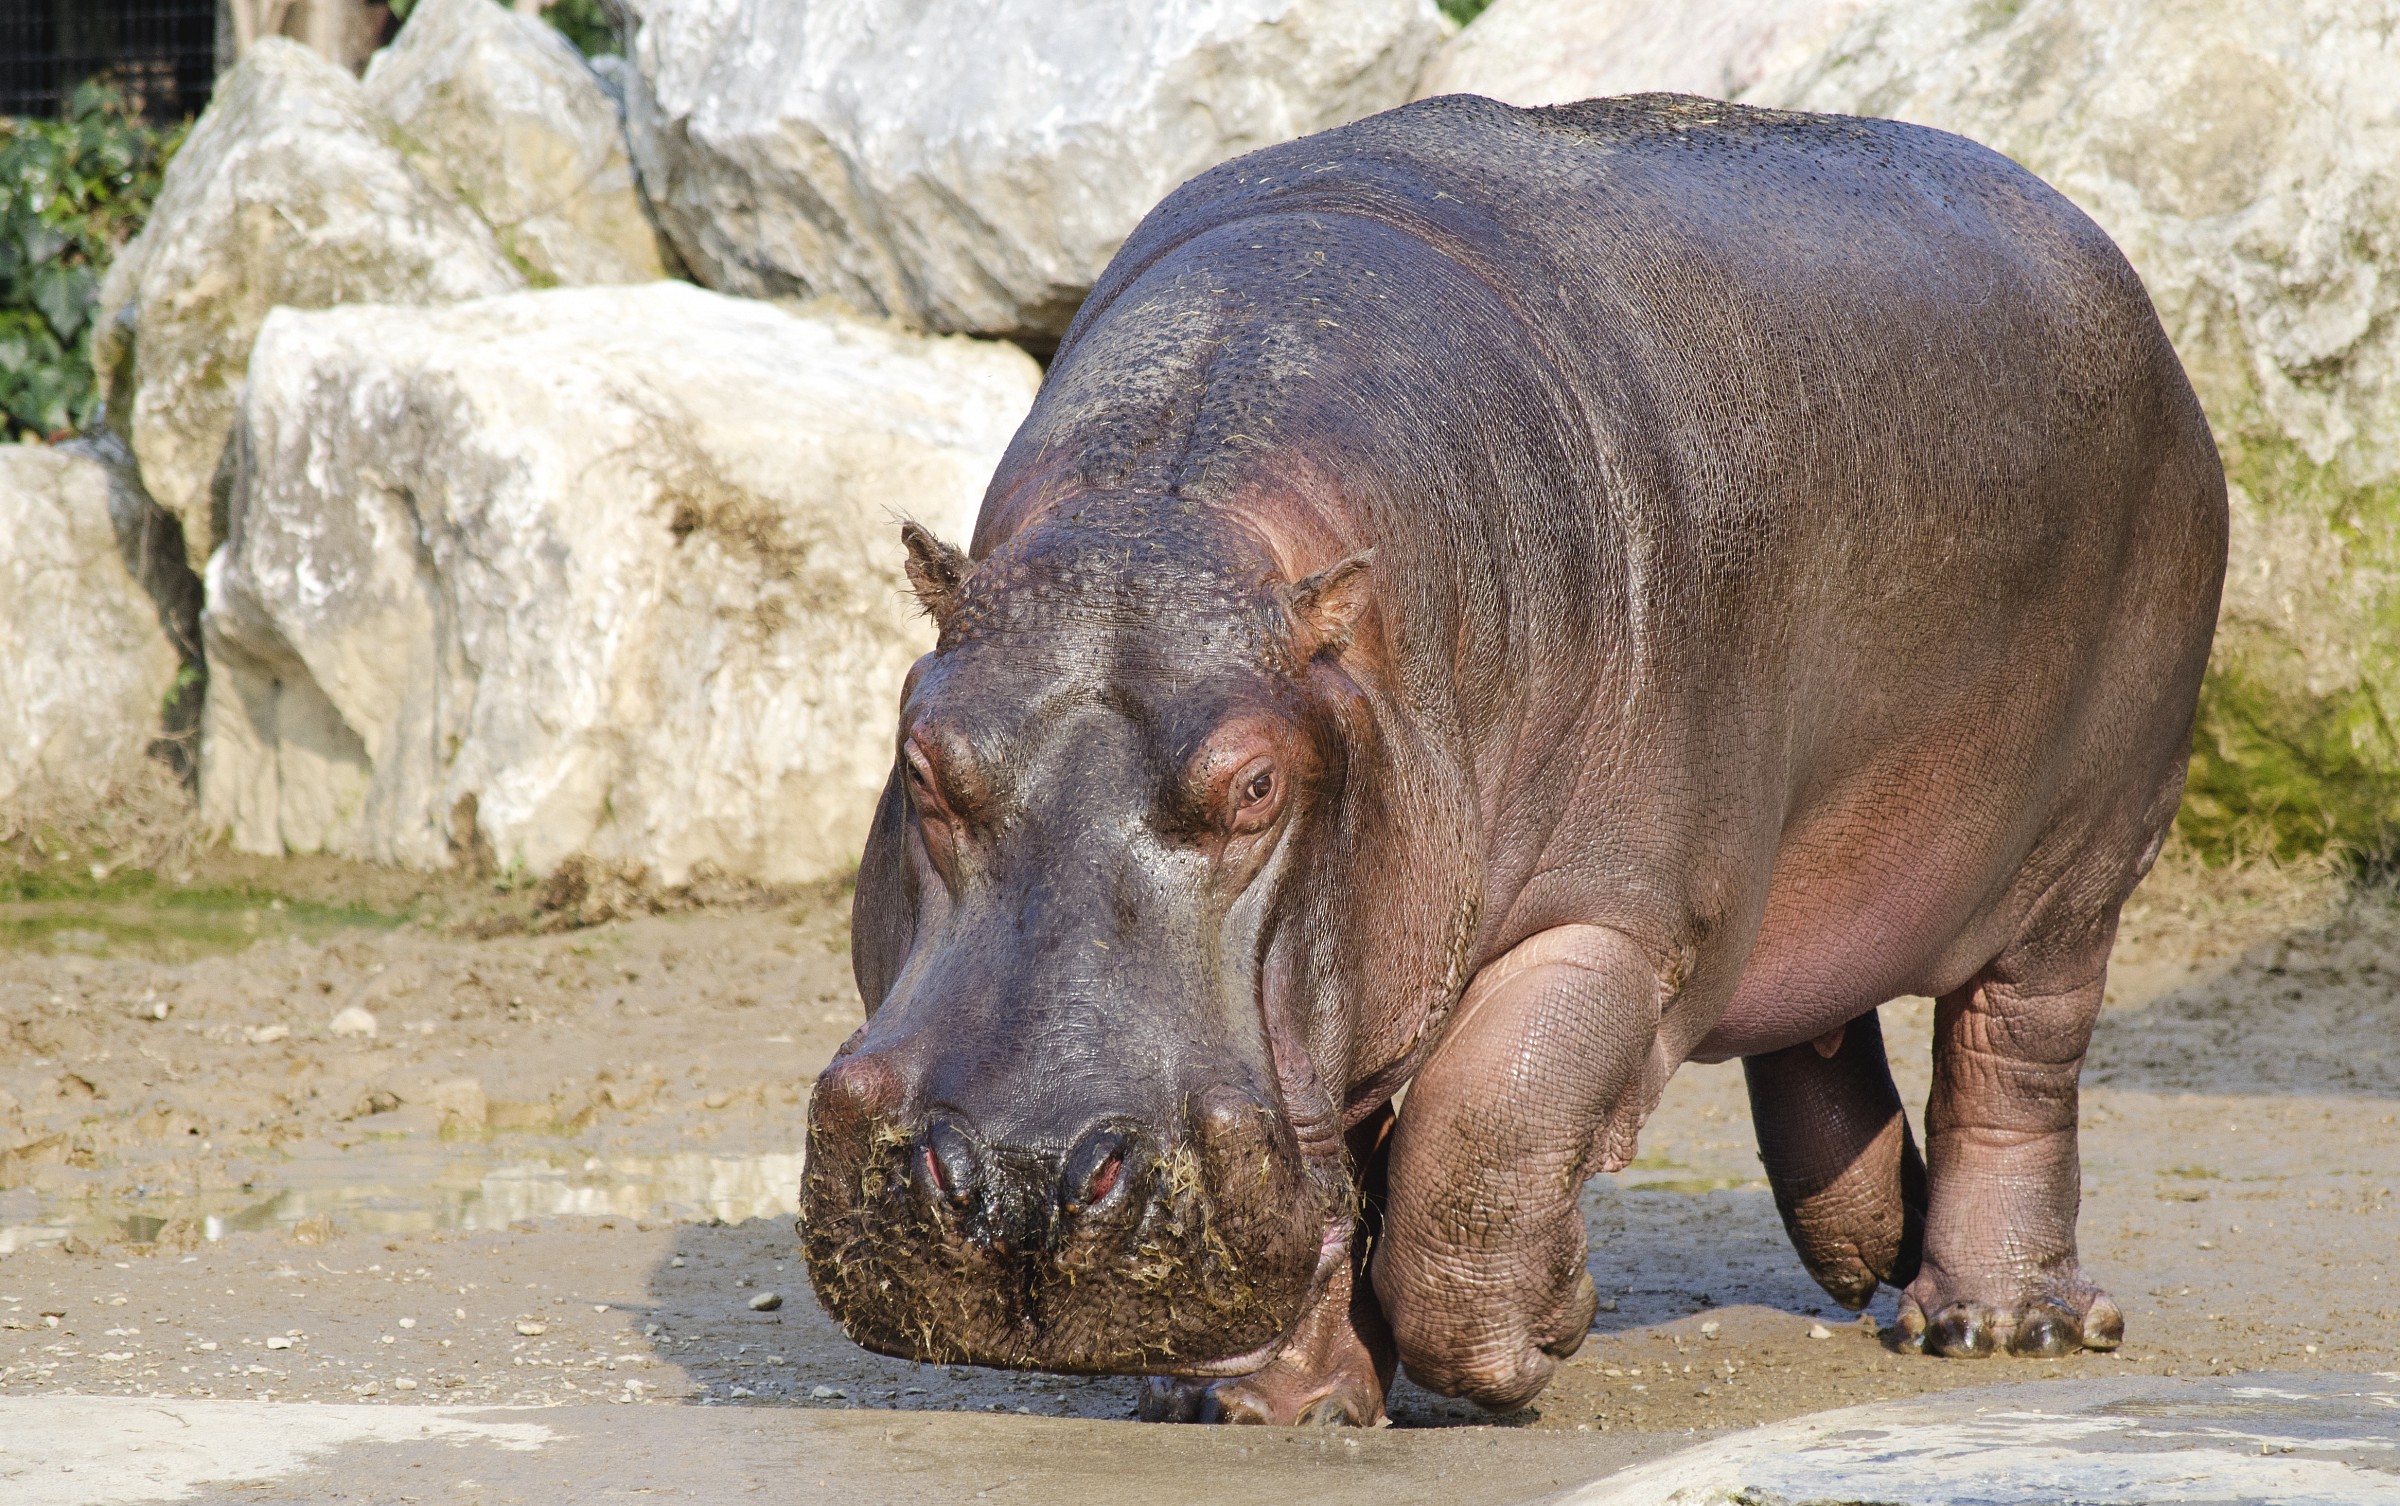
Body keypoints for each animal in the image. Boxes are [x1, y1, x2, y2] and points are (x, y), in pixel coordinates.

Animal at [801, 92, 2227, 1426]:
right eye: (919, 758)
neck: (1173, 518)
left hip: (2084, 858)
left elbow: (1478, 1148)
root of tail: (2102, 257)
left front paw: (1547, 1326)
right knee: (1821, 1024)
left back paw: (2000, 1327)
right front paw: (1265, 1407)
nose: (1020, 1181)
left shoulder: (1621, 922)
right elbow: (1330, 1178)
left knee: (2016, 1057)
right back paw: (1870, 1254)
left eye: (1257, 784)